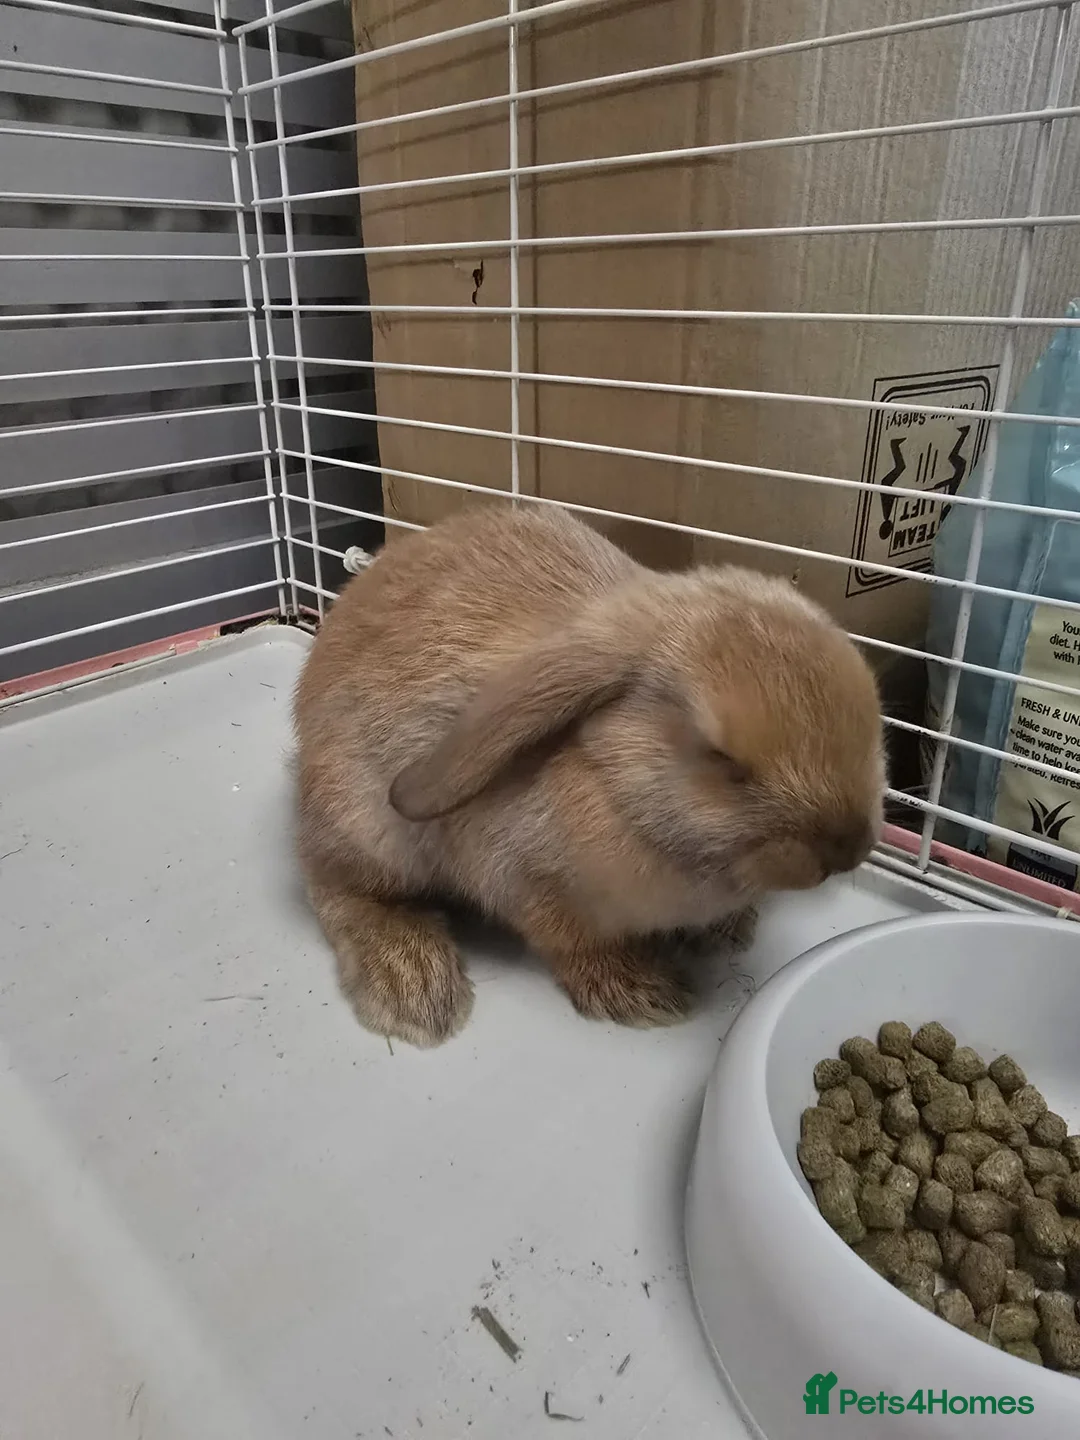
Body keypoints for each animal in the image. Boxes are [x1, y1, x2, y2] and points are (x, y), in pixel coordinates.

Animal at [293, 503, 885, 1047]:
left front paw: (728, 931)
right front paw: (644, 994)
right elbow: (574, 944)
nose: (847, 850)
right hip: (366, 827)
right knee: (335, 889)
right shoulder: (530, 884)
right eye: (721, 758)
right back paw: (413, 989)